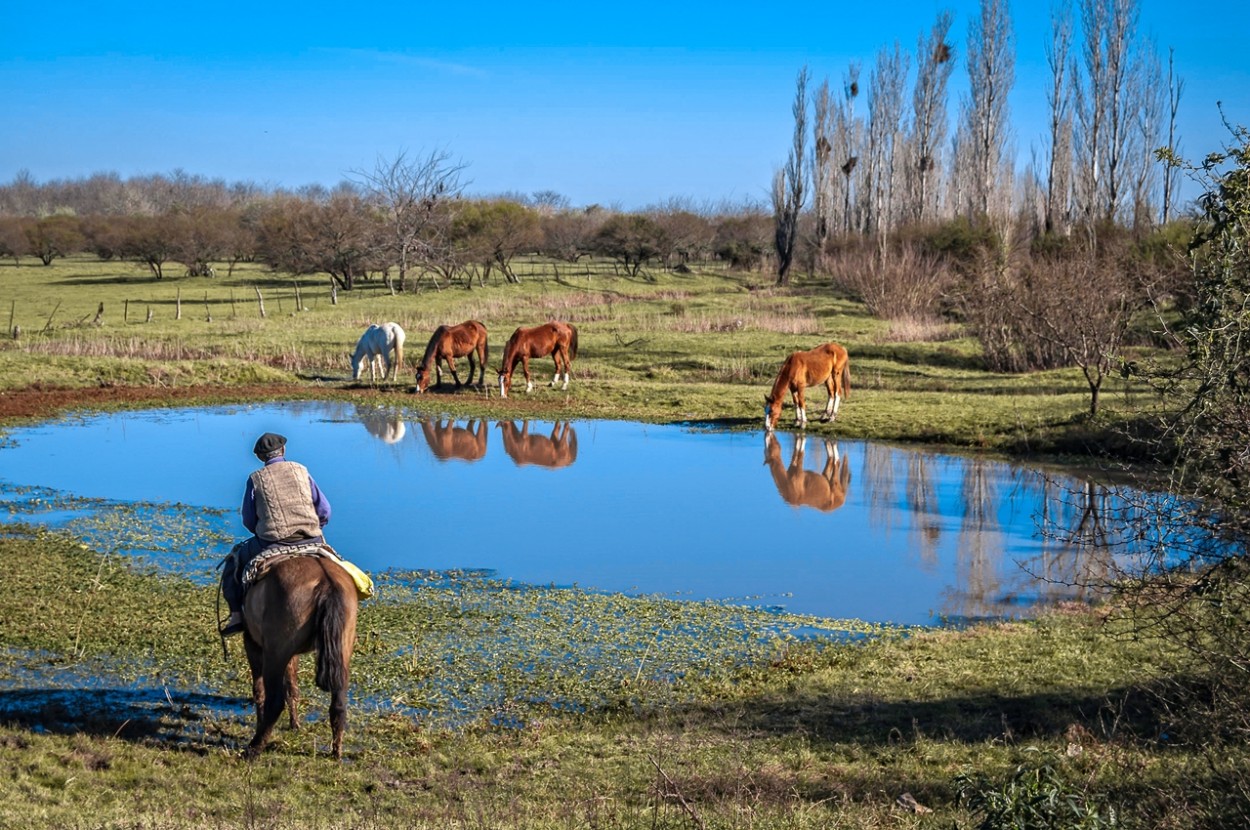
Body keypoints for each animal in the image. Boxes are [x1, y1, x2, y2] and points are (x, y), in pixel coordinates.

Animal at [241, 557, 357, 760]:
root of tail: (327, 583)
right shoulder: (291, 652)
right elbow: (292, 686)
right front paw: (294, 724)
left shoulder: (253, 641)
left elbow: (259, 690)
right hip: (342, 650)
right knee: (339, 704)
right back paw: (336, 753)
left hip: (275, 652)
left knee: (274, 701)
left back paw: (253, 749)